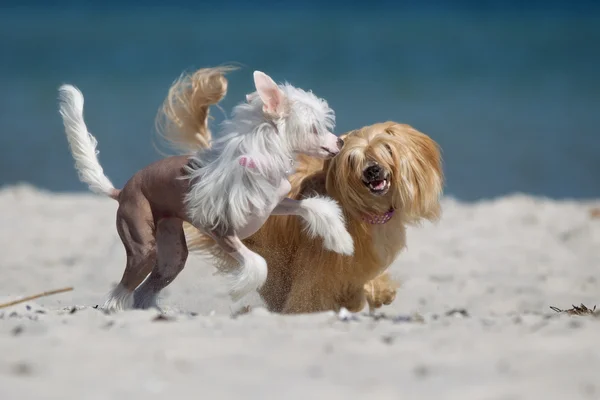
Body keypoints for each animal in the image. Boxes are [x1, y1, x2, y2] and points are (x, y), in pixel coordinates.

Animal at [157, 67, 442, 314]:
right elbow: (311, 291)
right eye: (353, 160)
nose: (372, 171)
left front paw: (373, 291)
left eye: (386, 149)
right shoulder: (314, 268)